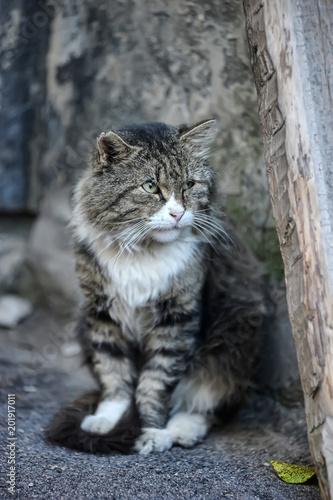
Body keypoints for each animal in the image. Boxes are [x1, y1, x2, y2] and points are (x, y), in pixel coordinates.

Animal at [47, 119, 264, 456]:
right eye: (150, 187)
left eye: (189, 185)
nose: (177, 213)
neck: (143, 251)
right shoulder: (102, 313)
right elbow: (114, 376)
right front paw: (107, 418)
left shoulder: (177, 318)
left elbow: (154, 384)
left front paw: (149, 430)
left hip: (235, 337)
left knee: (206, 402)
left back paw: (180, 431)